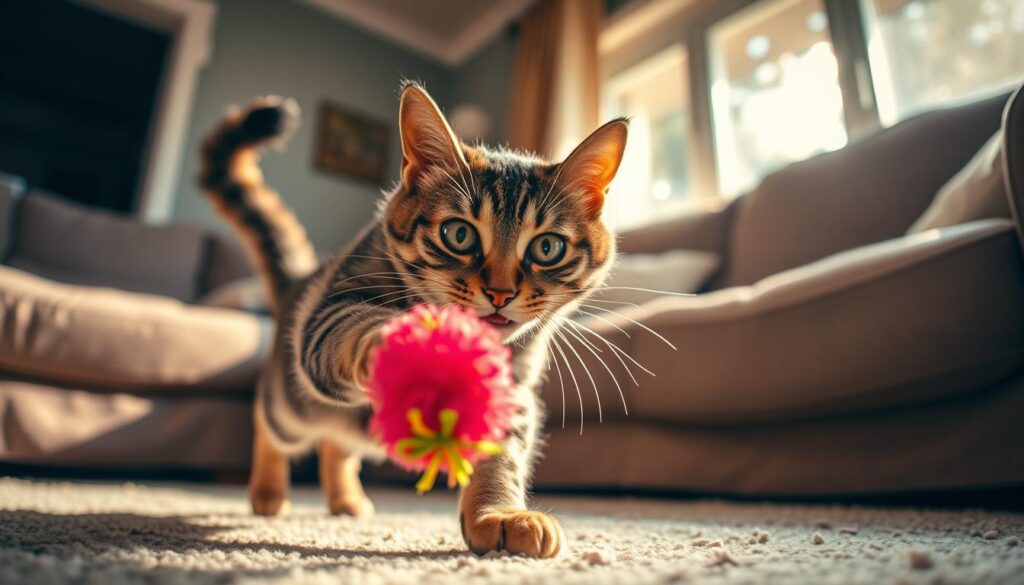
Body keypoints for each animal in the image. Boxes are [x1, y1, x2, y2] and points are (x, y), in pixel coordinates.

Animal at [198, 82, 626, 557]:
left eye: (547, 247)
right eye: (459, 234)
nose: (500, 293)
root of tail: (297, 283)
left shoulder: (510, 392)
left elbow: (500, 456)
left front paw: (499, 513)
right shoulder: (331, 311)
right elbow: (353, 330)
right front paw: (405, 348)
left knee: (337, 446)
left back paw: (345, 498)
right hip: (292, 404)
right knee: (269, 424)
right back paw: (268, 491)